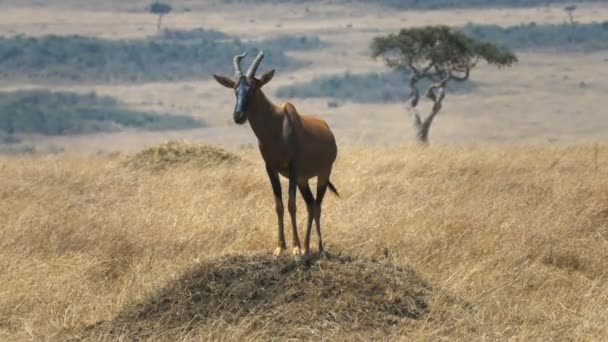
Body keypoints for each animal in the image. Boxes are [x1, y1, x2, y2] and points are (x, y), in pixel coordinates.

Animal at [214, 51, 340, 256]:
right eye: (235, 89)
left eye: (253, 88)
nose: (238, 116)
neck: (278, 125)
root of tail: (327, 129)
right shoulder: (271, 169)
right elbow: (279, 206)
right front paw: (280, 247)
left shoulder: (293, 169)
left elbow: (291, 205)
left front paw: (295, 248)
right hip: (304, 179)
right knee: (310, 204)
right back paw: (307, 247)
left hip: (323, 173)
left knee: (318, 205)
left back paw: (319, 248)